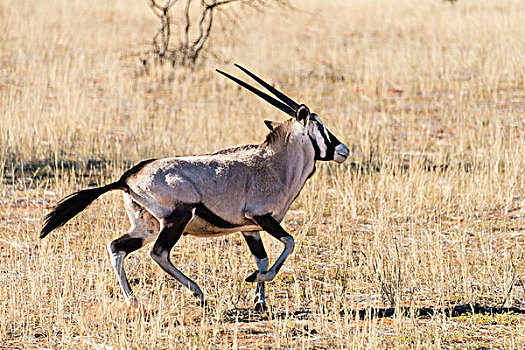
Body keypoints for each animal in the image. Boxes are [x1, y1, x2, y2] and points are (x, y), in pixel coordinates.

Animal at [41, 64, 350, 310]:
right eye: (321, 127)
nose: (343, 149)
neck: (275, 162)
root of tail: (127, 178)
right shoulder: (262, 217)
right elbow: (289, 243)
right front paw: (254, 280)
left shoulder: (250, 229)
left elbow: (262, 259)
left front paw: (260, 300)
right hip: (177, 218)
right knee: (158, 253)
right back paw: (198, 292)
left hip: (145, 226)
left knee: (117, 247)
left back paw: (134, 300)